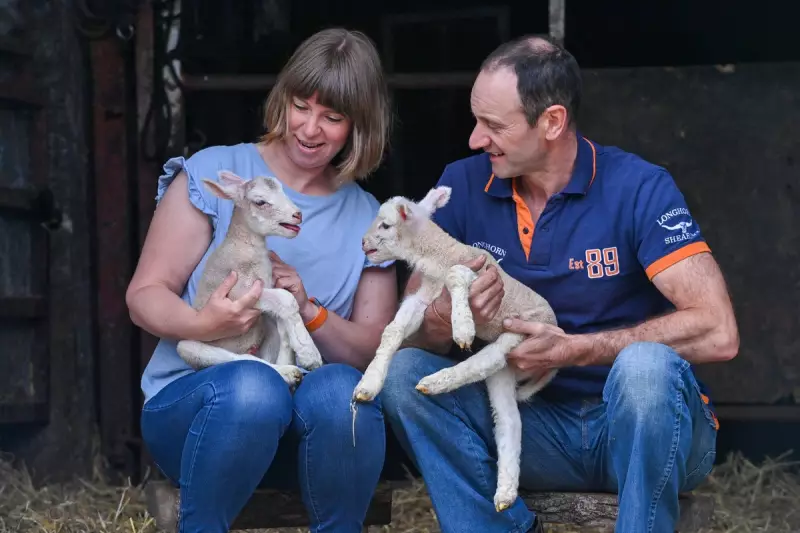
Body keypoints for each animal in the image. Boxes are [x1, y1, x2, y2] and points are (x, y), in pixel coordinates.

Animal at [175, 170, 324, 387]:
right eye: (260, 202)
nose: (297, 214)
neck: (247, 248)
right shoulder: (237, 292)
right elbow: (286, 299)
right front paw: (310, 354)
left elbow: (284, 323)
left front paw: (298, 352)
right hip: (191, 348)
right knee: (241, 359)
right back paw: (287, 372)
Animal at [351, 185, 558, 512]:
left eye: (384, 225)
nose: (362, 243)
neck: (439, 255)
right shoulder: (424, 300)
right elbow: (393, 330)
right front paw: (368, 384)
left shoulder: (478, 274)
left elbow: (456, 275)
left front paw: (462, 327)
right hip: (507, 371)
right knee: (509, 420)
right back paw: (505, 493)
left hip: (521, 332)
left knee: (489, 359)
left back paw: (437, 381)